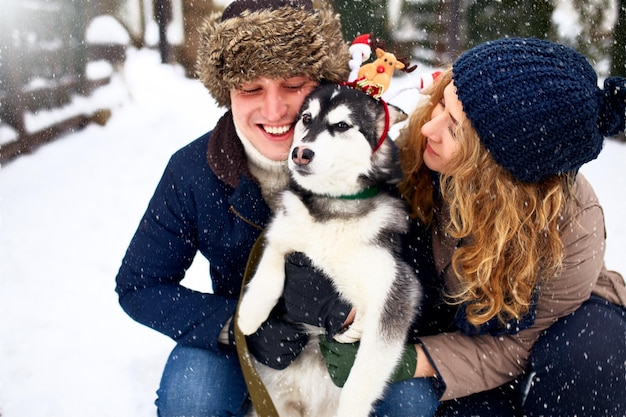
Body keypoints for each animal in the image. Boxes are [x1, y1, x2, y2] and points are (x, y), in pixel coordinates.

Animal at [236, 83, 422, 416]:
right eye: (306, 119)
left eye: (342, 126)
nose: (300, 153)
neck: (332, 208)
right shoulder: (284, 229)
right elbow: (271, 262)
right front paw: (250, 313)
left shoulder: (396, 291)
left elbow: (362, 375)